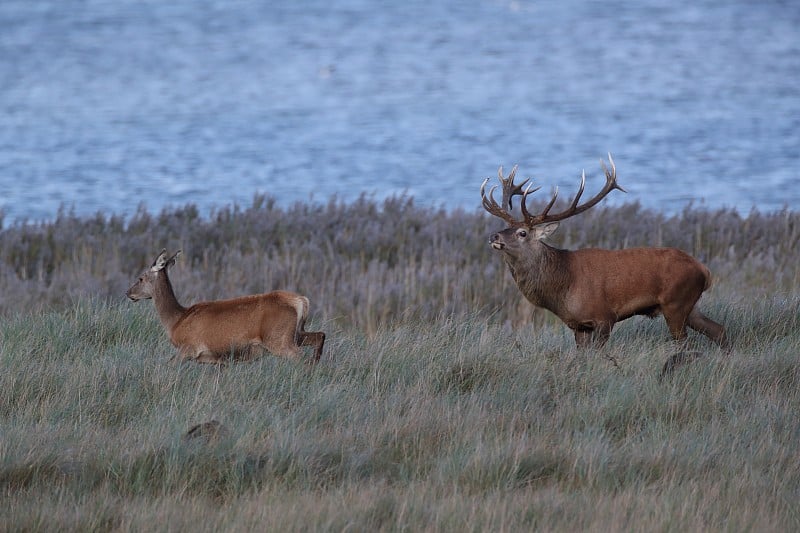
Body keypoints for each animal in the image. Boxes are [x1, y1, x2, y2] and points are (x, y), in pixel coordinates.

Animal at [126, 248, 324, 364]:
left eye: (140, 278)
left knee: (300, 356)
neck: (176, 321)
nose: (128, 293)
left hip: (278, 338)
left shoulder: (188, 347)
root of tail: (301, 301)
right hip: (295, 333)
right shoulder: (218, 359)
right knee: (320, 336)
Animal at [482, 154, 732, 360]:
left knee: (685, 343)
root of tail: (705, 271)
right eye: (505, 227)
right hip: (689, 305)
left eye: (522, 233)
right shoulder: (579, 326)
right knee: (718, 330)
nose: (494, 235)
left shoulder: (604, 316)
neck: (563, 287)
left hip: (676, 303)